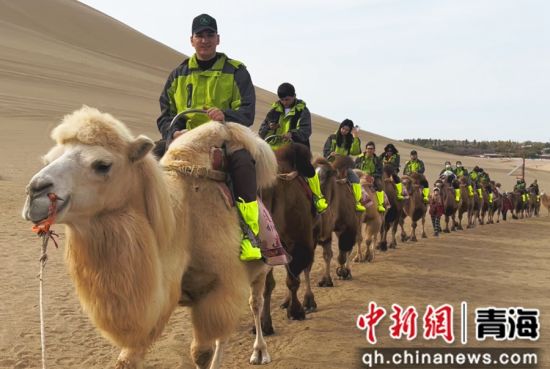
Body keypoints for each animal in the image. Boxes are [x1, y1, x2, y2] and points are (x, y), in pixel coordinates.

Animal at [22, 106, 280, 368]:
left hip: (260, 268)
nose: (35, 191)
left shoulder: (220, 289)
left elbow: (201, 352)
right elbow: (128, 359)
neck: (182, 229)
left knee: (254, 304)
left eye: (102, 165)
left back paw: (260, 351)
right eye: (48, 159)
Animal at [312, 155, 360, 284]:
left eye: (326, 176)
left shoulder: (348, 228)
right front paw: (326, 280)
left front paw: (343, 272)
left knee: (350, 247)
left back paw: (347, 272)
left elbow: (343, 253)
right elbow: (327, 254)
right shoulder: (327, 231)